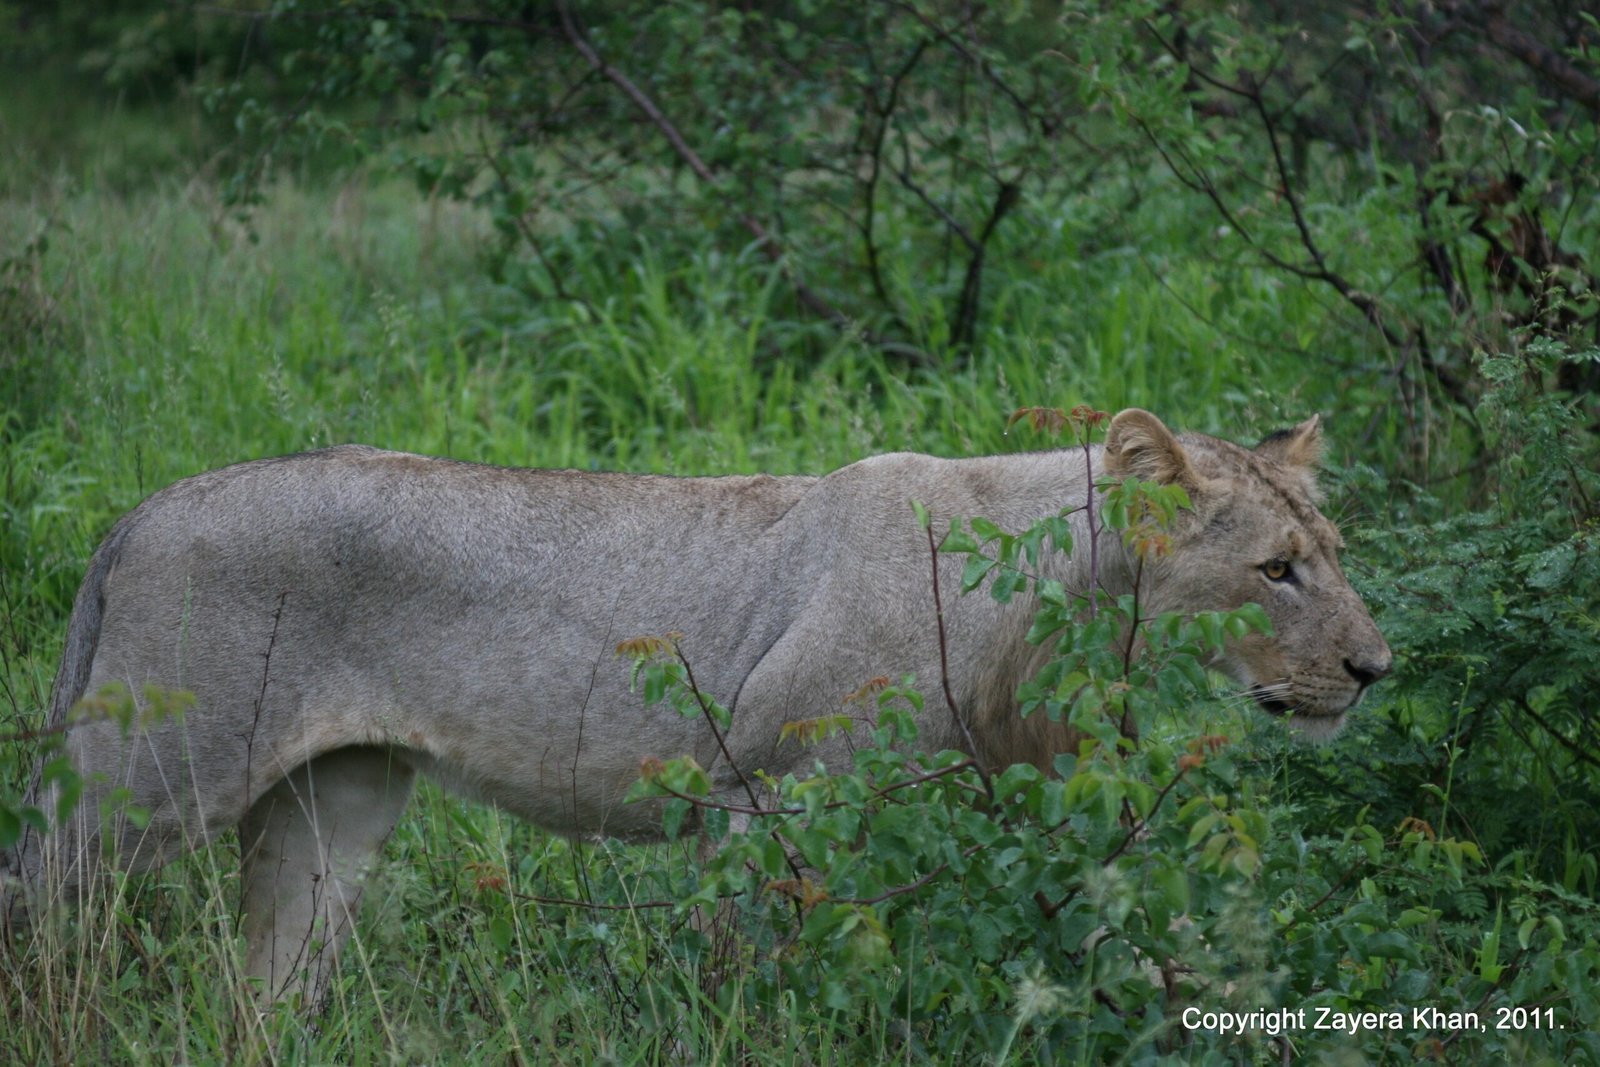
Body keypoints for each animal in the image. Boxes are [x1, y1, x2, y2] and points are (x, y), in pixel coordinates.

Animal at [2, 408, 1390, 1005]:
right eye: (1276, 569)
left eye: (1331, 550)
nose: (1378, 667)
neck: (1058, 613)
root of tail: (146, 506)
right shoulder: (772, 793)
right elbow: (759, 974)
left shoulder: (1043, 805)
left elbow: (1147, 946)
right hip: (143, 779)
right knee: (33, 902)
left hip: (328, 803)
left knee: (264, 977)